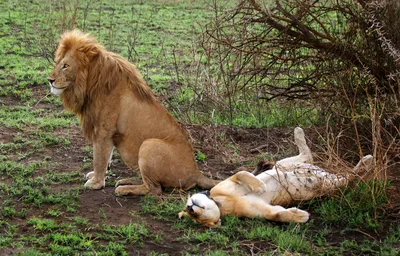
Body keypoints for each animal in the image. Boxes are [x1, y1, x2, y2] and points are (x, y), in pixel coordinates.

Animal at [48, 29, 220, 194]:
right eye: (57, 63)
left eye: (65, 66)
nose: (49, 80)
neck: (89, 84)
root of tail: (196, 173)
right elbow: (107, 156)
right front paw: (99, 176)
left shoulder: (104, 130)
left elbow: (99, 158)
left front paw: (96, 183)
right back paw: (127, 181)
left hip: (149, 145)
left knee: (154, 190)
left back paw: (124, 189)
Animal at [180, 127, 374, 227]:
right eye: (198, 219)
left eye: (190, 211)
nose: (191, 208)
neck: (222, 203)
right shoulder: (262, 210)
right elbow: (277, 215)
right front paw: (300, 216)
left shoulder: (228, 181)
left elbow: (241, 173)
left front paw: (259, 185)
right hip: (327, 185)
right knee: (348, 179)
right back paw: (366, 162)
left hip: (282, 164)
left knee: (306, 156)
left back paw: (298, 132)